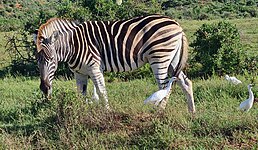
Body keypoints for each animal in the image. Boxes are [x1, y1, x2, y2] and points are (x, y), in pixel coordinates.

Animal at [33, 14, 196, 113]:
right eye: (37, 61)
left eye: (51, 60)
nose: (44, 89)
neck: (73, 45)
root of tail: (177, 24)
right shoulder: (79, 73)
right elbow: (81, 94)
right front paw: (81, 114)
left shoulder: (94, 68)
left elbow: (101, 91)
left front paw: (107, 113)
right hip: (172, 60)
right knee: (185, 82)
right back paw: (192, 113)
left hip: (160, 57)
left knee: (164, 86)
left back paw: (158, 113)